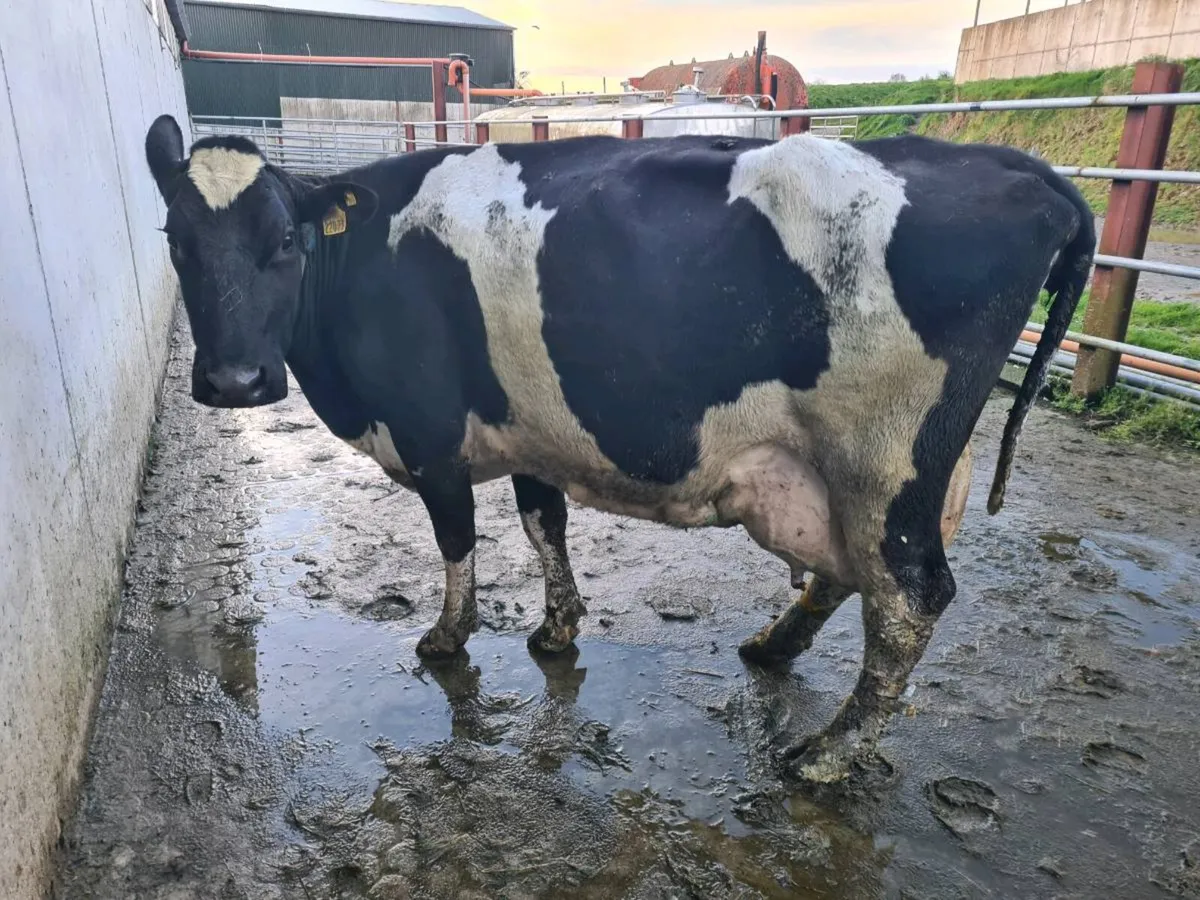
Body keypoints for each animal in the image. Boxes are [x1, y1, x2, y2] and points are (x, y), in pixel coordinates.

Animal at [143, 113, 1093, 781]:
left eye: (285, 241)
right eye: (175, 242)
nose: (233, 381)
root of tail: (1018, 168)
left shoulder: (430, 432)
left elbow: (457, 540)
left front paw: (447, 638)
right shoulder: (529, 431)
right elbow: (543, 522)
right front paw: (558, 626)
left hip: (881, 456)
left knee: (908, 595)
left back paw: (830, 752)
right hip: (876, 468)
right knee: (853, 572)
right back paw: (773, 647)